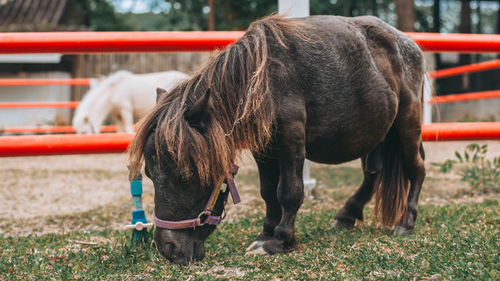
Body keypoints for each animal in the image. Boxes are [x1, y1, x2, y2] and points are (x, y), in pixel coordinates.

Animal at [128, 14, 426, 264]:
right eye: (150, 175)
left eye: (185, 175)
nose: (168, 249)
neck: (262, 81)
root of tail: (409, 44)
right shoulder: (264, 148)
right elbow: (268, 192)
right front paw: (265, 235)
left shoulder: (290, 140)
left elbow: (289, 192)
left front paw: (281, 239)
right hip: (375, 132)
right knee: (373, 174)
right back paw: (346, 215)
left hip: (407, 123)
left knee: (416, 169)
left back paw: (406, 221)